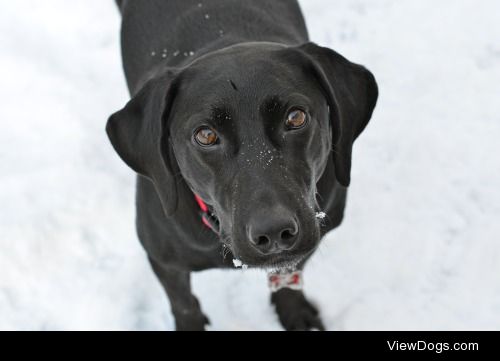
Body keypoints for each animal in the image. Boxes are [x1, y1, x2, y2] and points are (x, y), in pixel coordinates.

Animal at [107, 0, 376, 330]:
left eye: (296, 117)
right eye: (206, 135)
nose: (274, 232)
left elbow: (288, 278)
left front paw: (295, 313)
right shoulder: (163, 259)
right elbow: (183, 303)